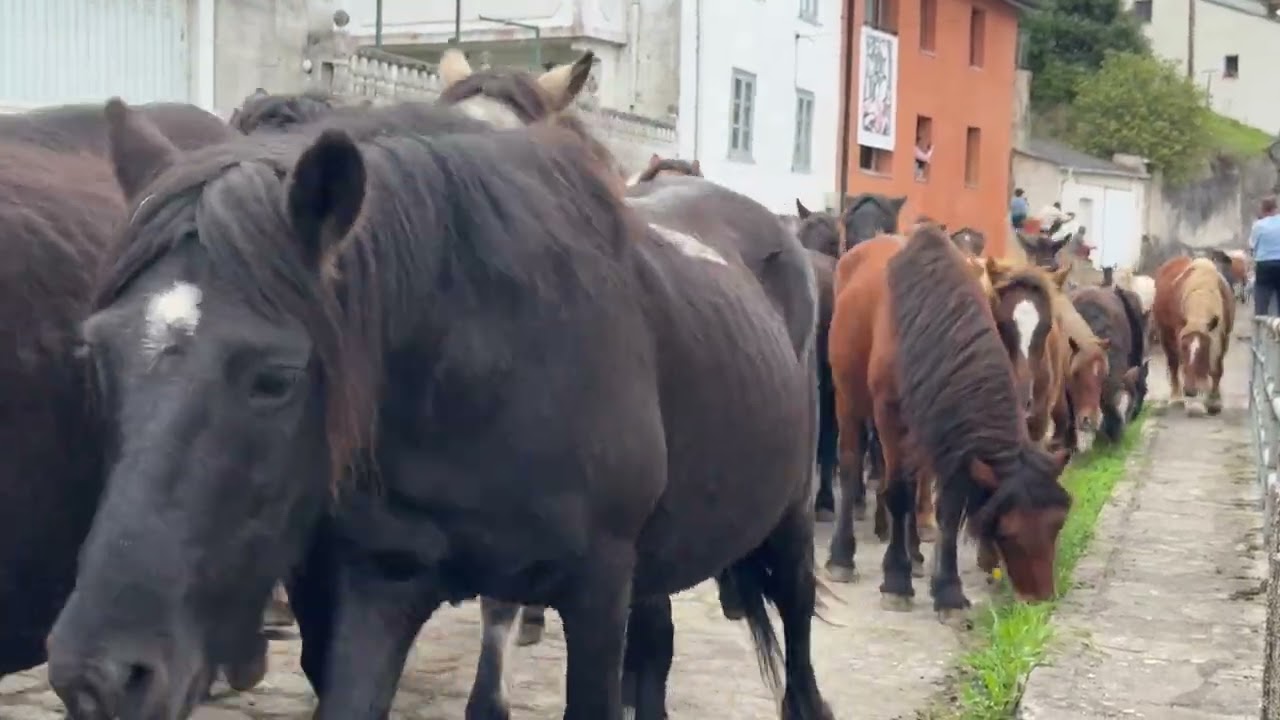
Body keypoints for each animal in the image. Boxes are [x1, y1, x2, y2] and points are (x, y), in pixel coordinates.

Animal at [45, 99, 834, 720]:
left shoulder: (598, 589)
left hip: (789, 513)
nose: (99, 677)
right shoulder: (380, 586)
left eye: (275, 378)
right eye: (95, 352)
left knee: (797, 635)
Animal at [826, 226, 1070, 616]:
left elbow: (950, 507)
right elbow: (899, 493)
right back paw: (843, 556)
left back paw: (915, 553)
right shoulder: (891, 416)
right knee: (852, 467)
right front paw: (896, 579)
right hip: (848, 398)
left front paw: (948, 591)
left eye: (1057, 525)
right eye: (1006, 531)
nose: (1039, 599)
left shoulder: (950, 432)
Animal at [1153, 256, 1235, 415]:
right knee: (1173, 364)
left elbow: (1217, 369)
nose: (1190, 391)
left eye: (1205, 349)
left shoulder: (1222, 337)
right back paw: (1176, 398)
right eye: (1183, 348)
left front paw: (1214, 402)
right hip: (1165, 334)